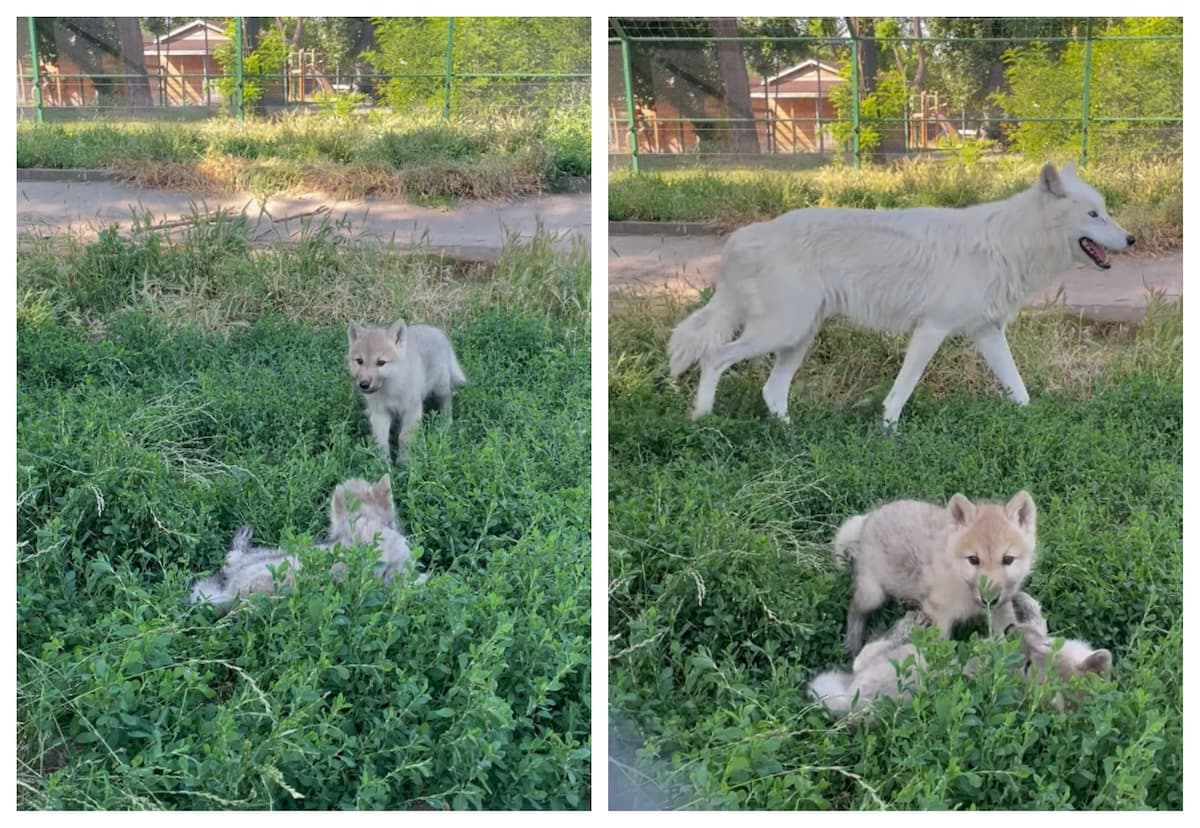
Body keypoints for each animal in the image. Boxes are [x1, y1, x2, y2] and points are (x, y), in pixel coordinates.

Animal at [347, 320, 467, 464]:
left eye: (381, 362)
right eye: (359, 361)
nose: (364, 384)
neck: (390, 389)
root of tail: (436, 331)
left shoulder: (412, 411)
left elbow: (404, 438)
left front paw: (404, 462)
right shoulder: (380, 414)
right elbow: (381, 440)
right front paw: (383, 462)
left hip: (440, 386)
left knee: (447, 402)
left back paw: (445, 424)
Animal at [667, 162, 1135, 426]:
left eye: (1105, 211)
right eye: (1094, 214)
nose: (1131, 239)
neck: (1008, 244)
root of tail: (740, 238)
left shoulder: (987, 333)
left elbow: (1019, 388)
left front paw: (1034, 420)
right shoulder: (931, 330)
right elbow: (903, 388)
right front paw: (888, 432)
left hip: (796, 338)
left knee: (771, 391)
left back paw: (791, 436)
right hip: (780, 333)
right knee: (714, 356)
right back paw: (702, 419)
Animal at [833, 491, 1037, 654]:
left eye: (1008, 559)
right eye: (973, 560)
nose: (989, 599)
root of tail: (869, 517)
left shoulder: (1001, 608)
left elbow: (1007, 637)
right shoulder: (941, 616)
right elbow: (941, 649)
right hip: (873, 594)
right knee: (855, 608)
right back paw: (852, 644)